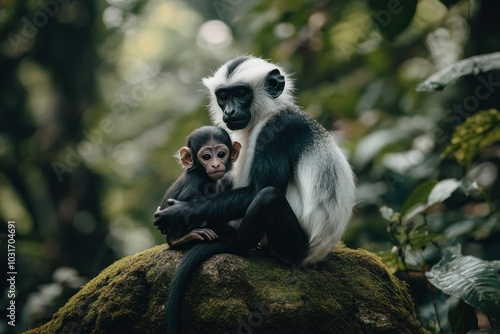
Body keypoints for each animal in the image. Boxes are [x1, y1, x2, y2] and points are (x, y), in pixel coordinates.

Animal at [155, 55, 356, 266]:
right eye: (223, 96)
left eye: (241, 93)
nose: (230, 111)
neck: (268, 113)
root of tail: (313, 255)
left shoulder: (278, 128)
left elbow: (259, 189)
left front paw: (178, 213)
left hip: (291, 245)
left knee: (268, 197)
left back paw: (235, 245)